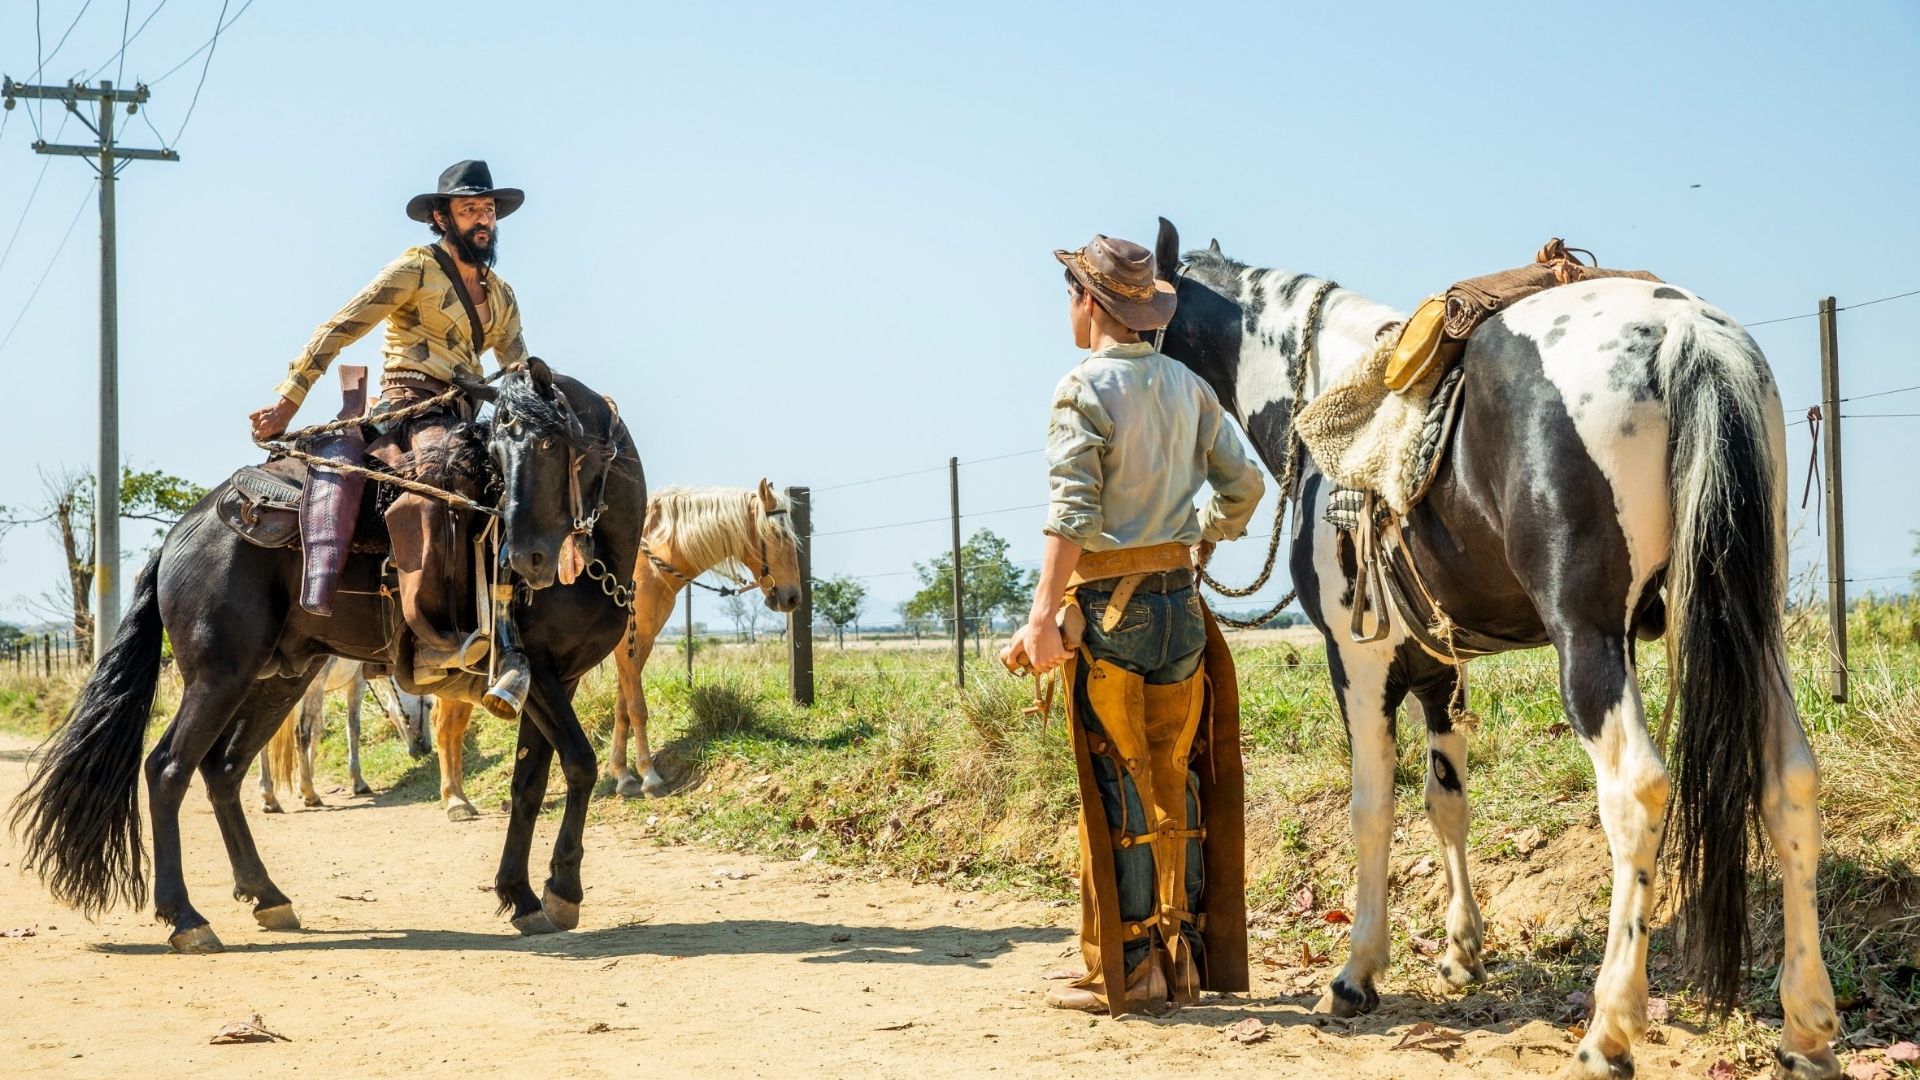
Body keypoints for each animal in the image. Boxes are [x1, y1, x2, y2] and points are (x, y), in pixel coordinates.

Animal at [253, 653, 430, 810]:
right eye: (429, 705)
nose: (426, 749)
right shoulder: (357, 681)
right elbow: (353, 728)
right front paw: (358, 782)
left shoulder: (323, 692)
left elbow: (317, 731)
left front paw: (305, 781)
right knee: (301, 734)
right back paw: (310, 794)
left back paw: (269, 797)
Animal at [424, 478, 798, 814]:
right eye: (779, 535)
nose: (792, 597)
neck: (647, 562)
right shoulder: (625, 647)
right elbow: (638, 708)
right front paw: (649, 777)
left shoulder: (641, 643)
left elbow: (622, 708)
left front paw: (623, 775)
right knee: (445, 728)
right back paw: (455, 801)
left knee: (451, 728)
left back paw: (459, 797)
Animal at [1144, 220, 1835, 1076]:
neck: (1329, 397)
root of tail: (1683, 334)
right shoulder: (1439, 671)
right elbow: (1447, 802)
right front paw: (1462, 952)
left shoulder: (1360, 662)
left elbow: (1372, 809)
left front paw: (1356, 975)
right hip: (1750, 624)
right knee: (1790, 781)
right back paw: (1805, 1026)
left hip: (1588, 639)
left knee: (1636, 793)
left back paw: (1609, 1028)